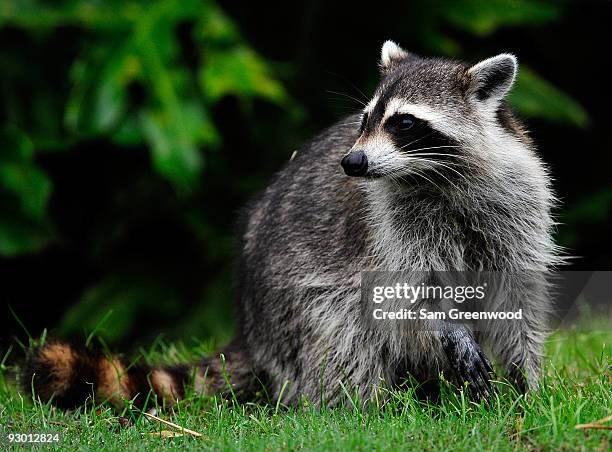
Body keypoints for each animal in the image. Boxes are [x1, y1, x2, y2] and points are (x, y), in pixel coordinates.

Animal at [22, 42, 560, 410]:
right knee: (342, 332)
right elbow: (407, 294)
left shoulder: (517, 201)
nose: (353, 162)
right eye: (364, 119)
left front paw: (527, 382)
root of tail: (250, 327)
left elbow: (519, 296)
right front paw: (453, 332)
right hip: (291, 301)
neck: (435, 176)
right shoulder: (390, 228)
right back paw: (364, 407)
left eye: (404, 123)